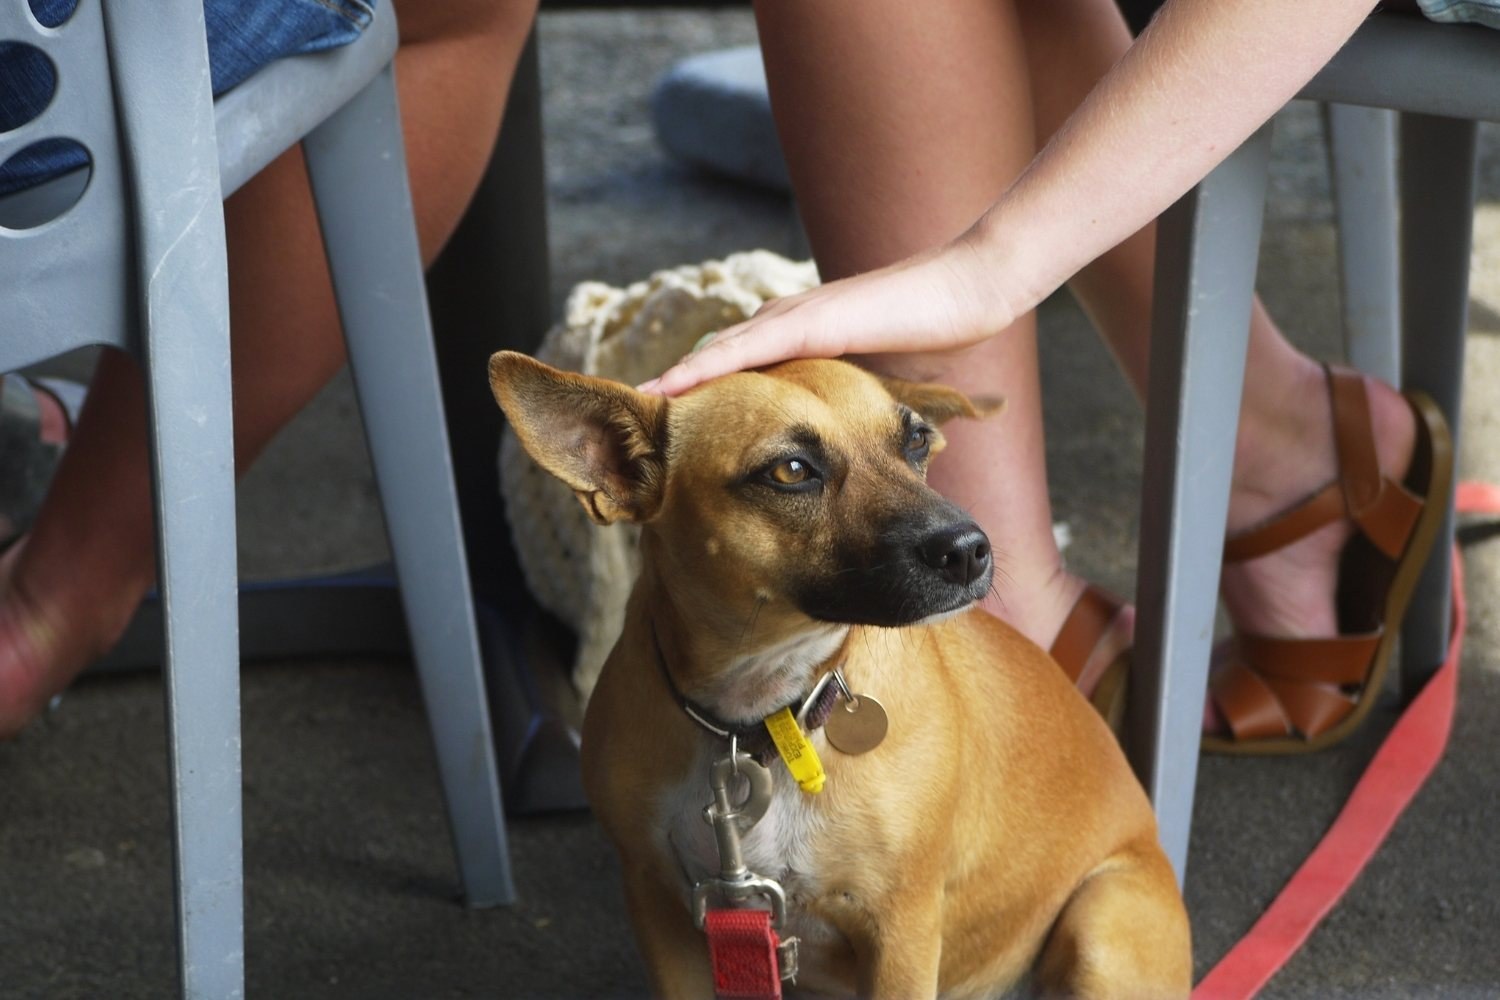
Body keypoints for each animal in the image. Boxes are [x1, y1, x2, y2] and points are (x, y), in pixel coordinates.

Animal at [495, 353, 1194, 1000]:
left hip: (1101, 927)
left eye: (916, 441)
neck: (761, 712)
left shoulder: (900, 933)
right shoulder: (662, 911)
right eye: (790, 471)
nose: (969, 548)